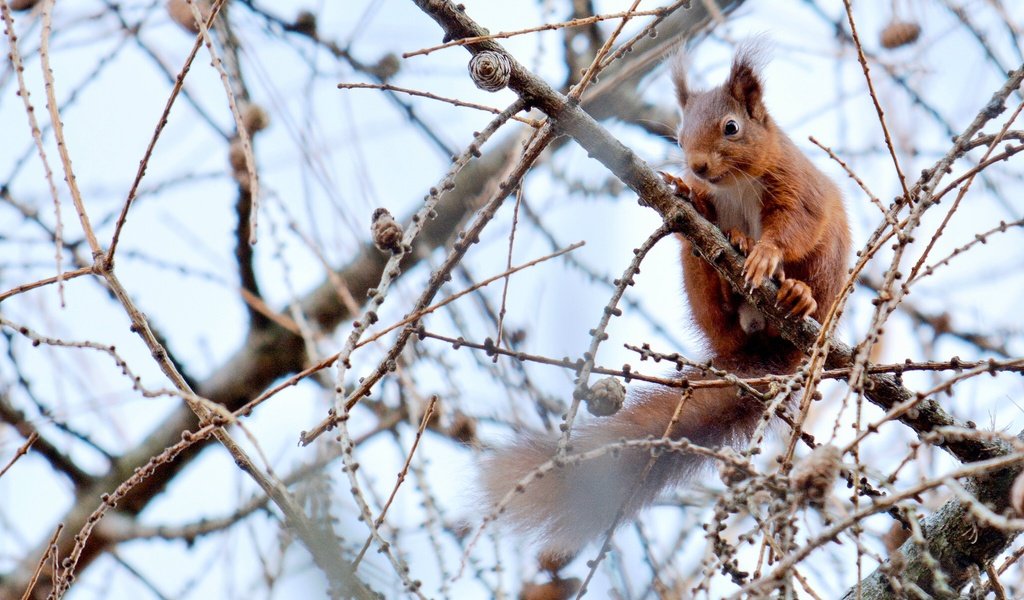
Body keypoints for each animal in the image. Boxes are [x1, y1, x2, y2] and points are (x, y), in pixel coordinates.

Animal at [477, 45, 847, 556]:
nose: (697, 166)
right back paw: (729, 258)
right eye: (680, 133)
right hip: (702, 291)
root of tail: (766, 347)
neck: (734, 184)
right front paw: (692, 194)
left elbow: (796, 224)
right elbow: (707, 210)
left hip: (830, 268)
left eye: (731, 127)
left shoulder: (796, 185)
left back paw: (799, 295)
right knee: (707, 274)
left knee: (812, 276)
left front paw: (767, 253)